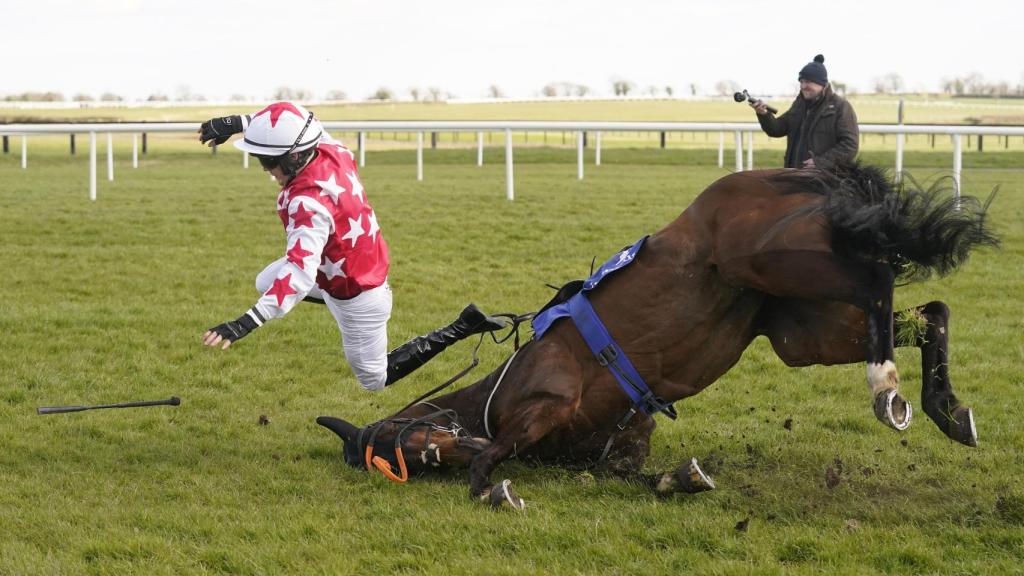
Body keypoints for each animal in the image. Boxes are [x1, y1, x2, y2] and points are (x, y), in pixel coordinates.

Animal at [316, 162, 997, 509]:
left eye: (396, 445)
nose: (436, 458)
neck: (496, 394)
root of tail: (799, 175)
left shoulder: (548, 396)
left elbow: (490, 459)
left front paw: (491, 487)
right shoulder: (626, 439)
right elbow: (641, 474)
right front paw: (687, 477)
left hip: (771, 261)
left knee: (879, 279)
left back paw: (887, 388)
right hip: (796, 327)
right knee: (929, 312)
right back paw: (944, 407)